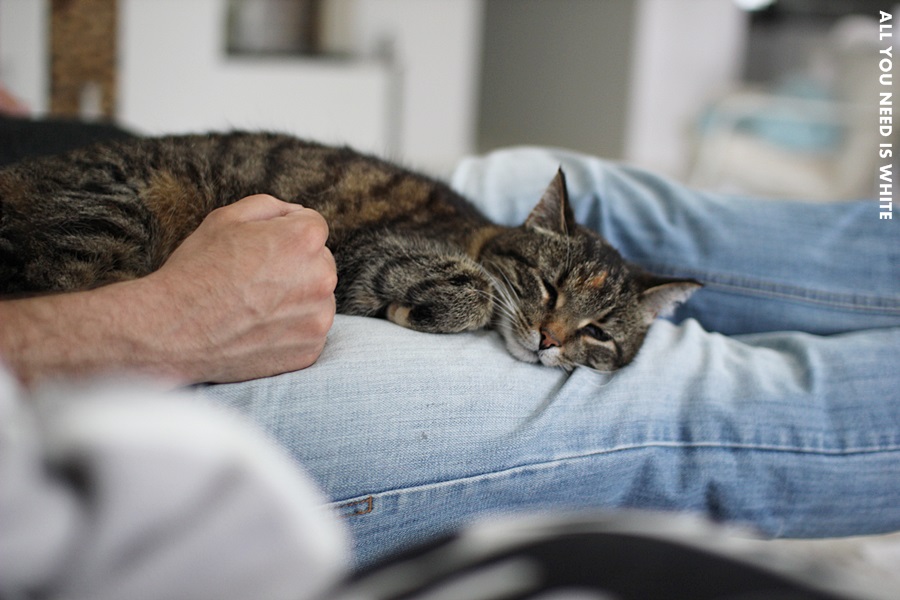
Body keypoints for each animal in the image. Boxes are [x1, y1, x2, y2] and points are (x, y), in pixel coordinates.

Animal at [0, 131, 700, 371]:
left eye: (599, 333)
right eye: (547, 286)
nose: (550, 340)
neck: (473, 234)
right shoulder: (361, 252)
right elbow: (474, 290)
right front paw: (415, 308)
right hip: (109, 213)